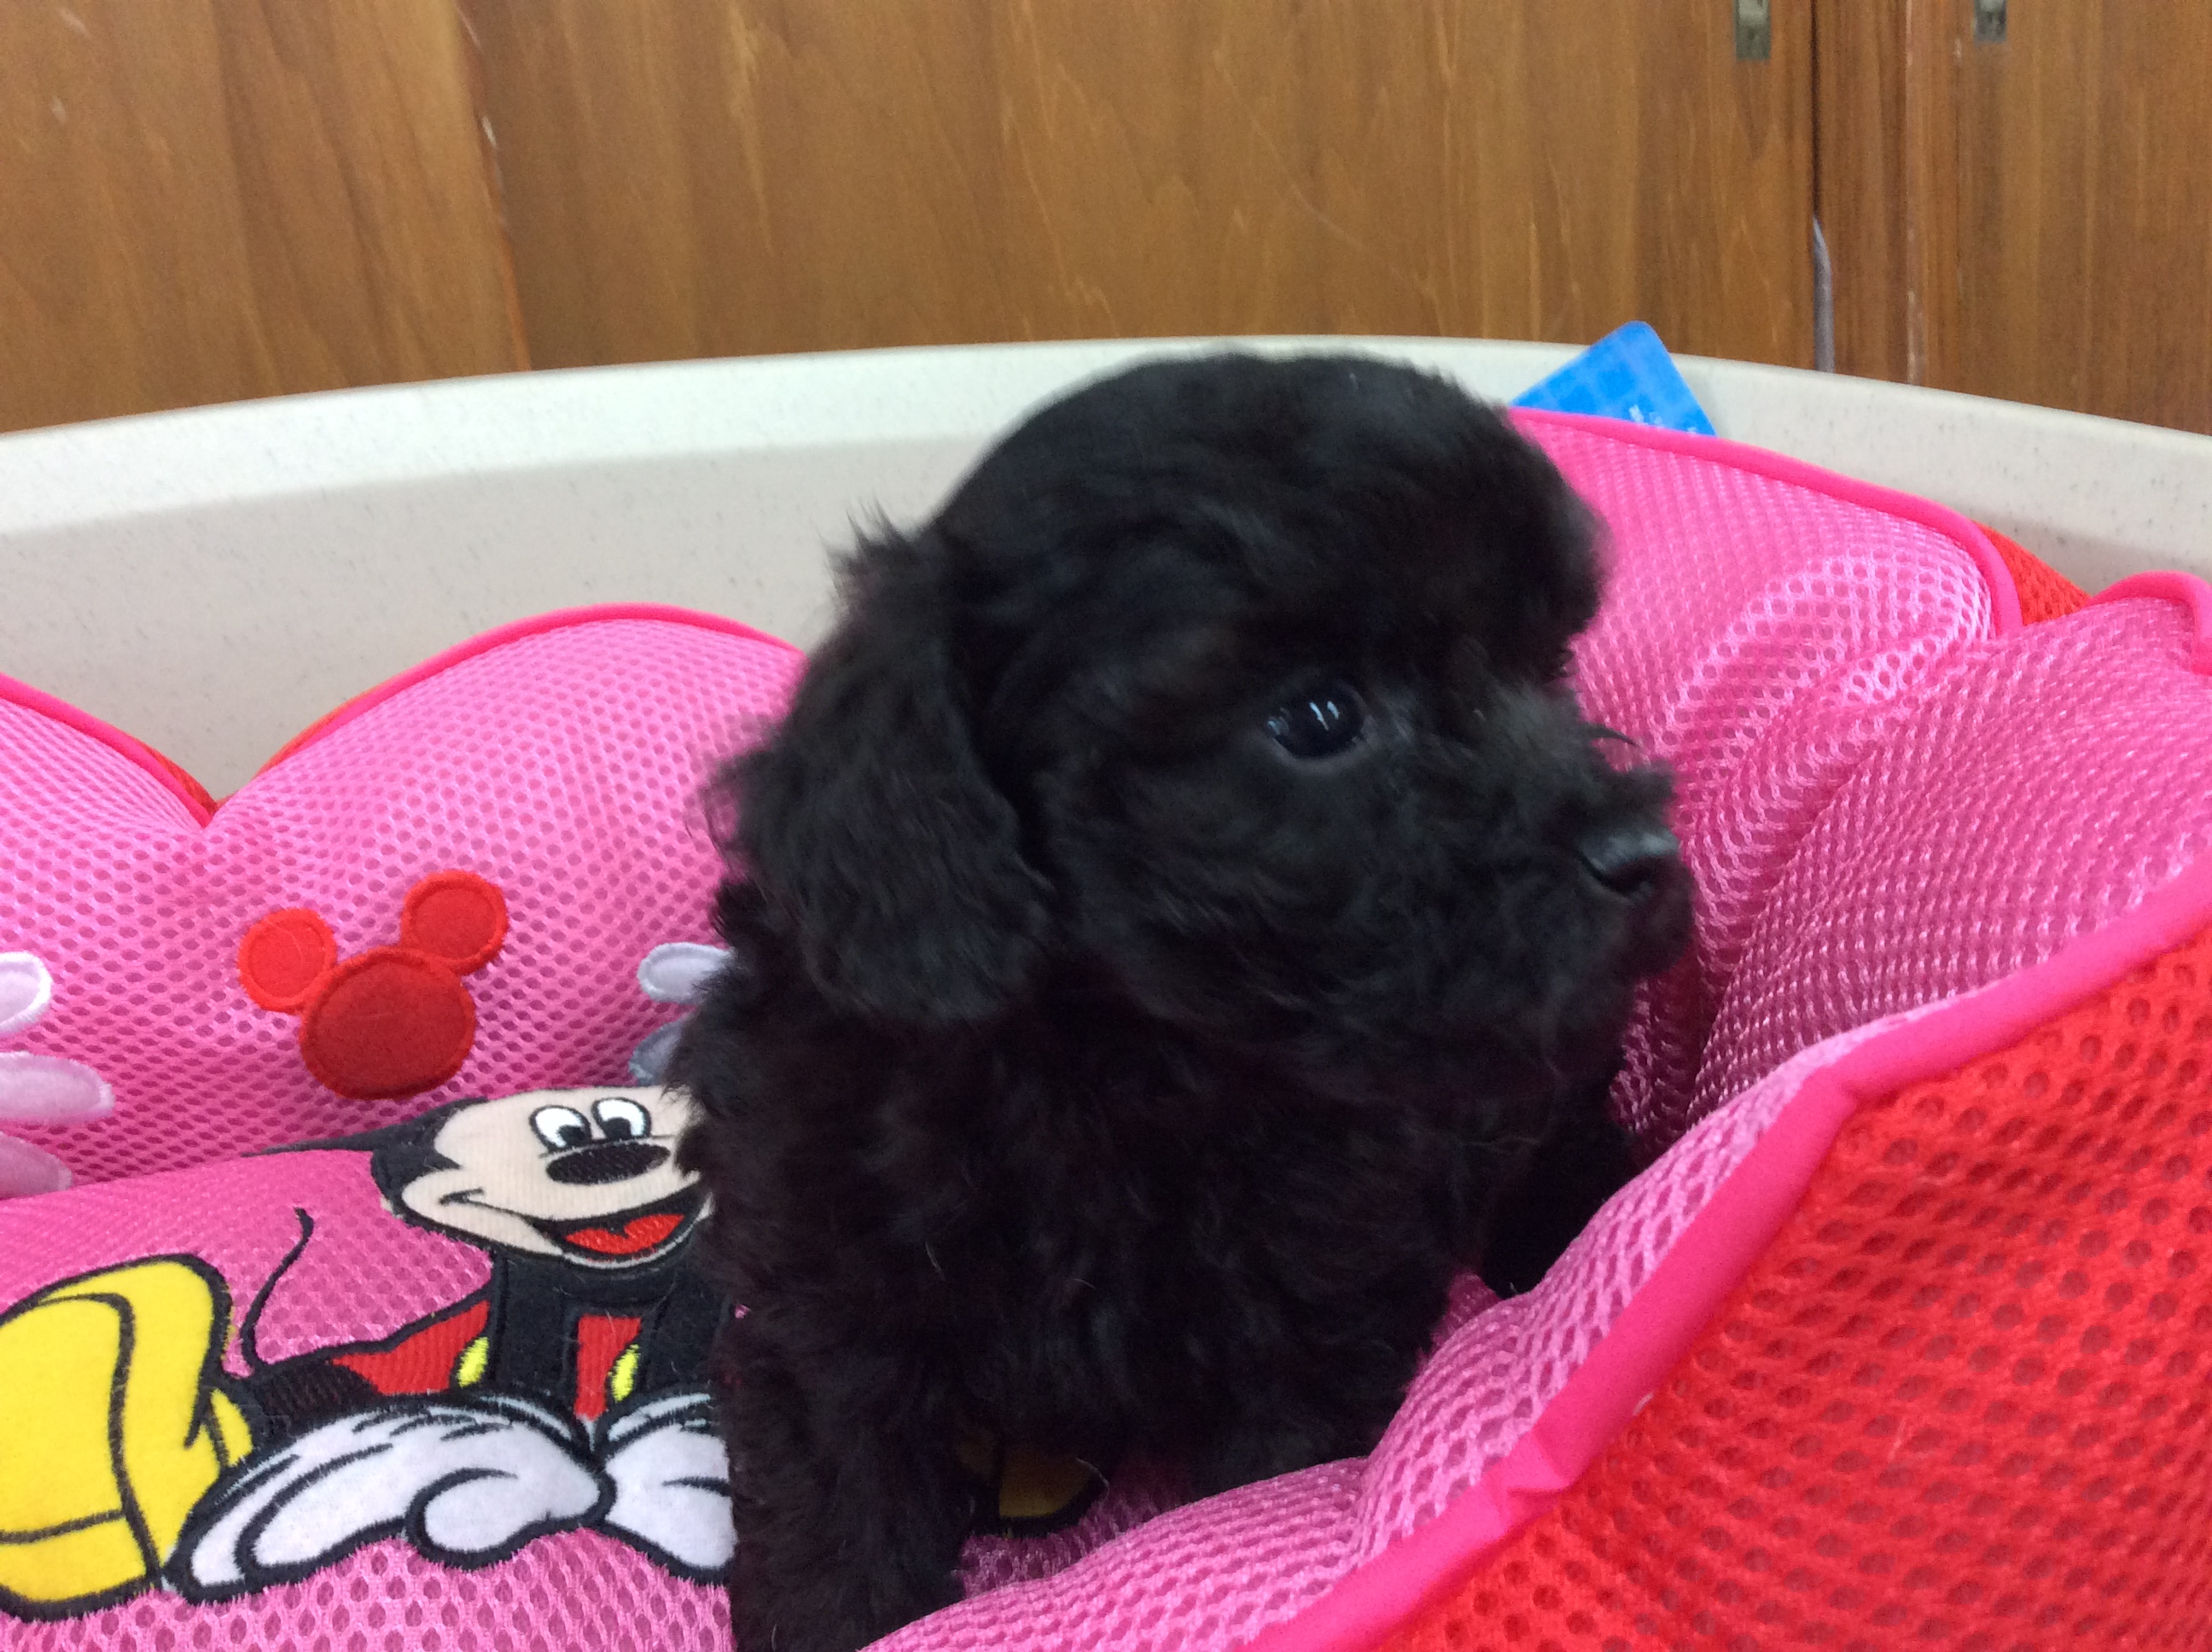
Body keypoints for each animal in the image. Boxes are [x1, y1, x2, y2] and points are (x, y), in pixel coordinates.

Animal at [672, 352, 1694, 1651]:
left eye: (1547, 670)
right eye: (1318, 717)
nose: (1643, 853)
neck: (1108, 1056)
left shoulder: (1313, 1308)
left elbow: (1266, 1478)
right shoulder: (824, 1276)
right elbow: (835, 1501)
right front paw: (844, 1609)